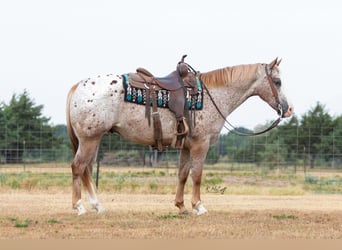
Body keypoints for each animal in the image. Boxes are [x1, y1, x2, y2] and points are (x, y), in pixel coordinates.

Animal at [67, 56, 294, 215]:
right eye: (277, 81)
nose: (288, 109)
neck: (212, 96)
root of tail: (77, 86)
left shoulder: (186, 146)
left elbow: (183, 175)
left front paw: (181, 206)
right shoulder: (201, 145)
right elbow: (197, 175)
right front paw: (199, 206)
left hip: (94, 140)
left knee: (86, 169)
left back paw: (97, 206)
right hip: (89, 140)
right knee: (78, 167)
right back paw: (79, 207)